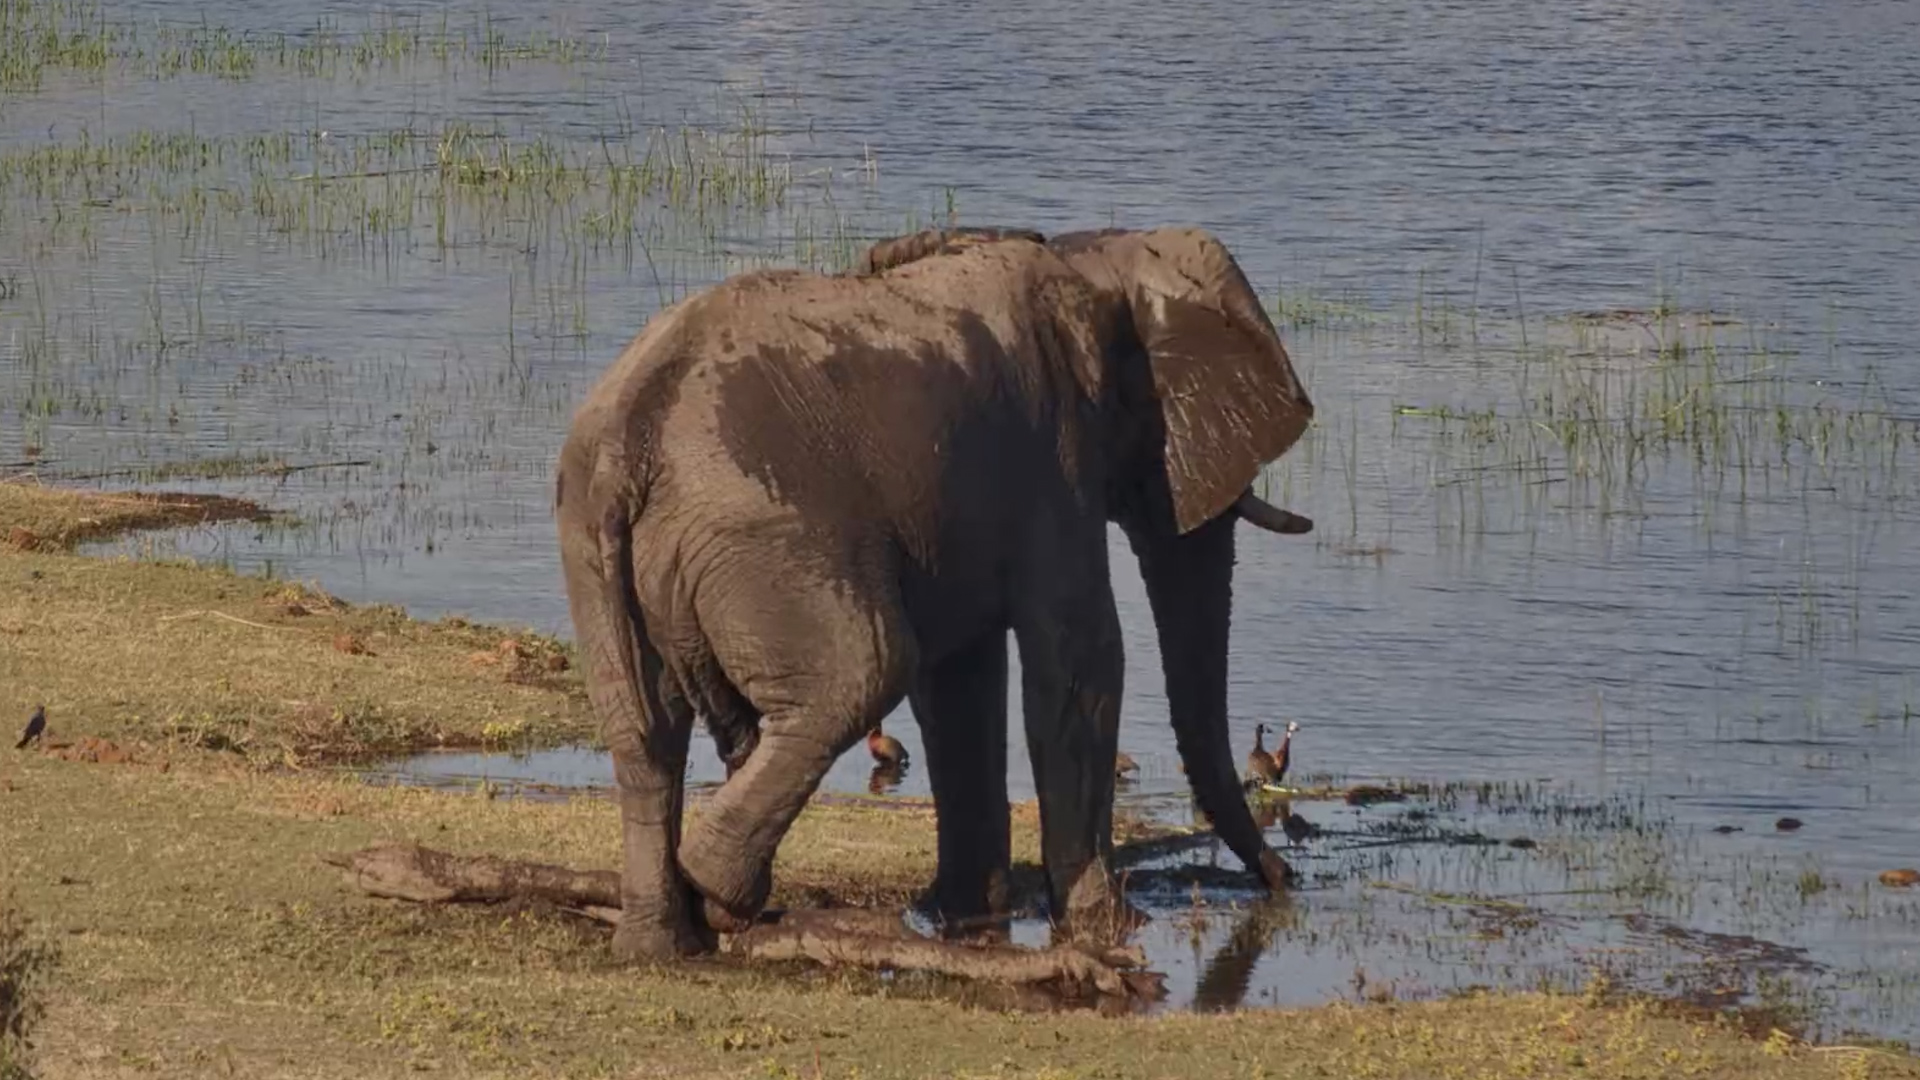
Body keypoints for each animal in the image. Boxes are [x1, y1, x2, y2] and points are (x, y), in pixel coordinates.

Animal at [554, 222, 1316, 961]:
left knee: (644, 734)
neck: (1095, 257)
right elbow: (1081, 657)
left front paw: (969, 917)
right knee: (865, 669)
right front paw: (1108, 929)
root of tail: (629, 442)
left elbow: (961, 683)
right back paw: (715, 894)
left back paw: (656, 946)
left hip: (593, 540)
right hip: (766, 532)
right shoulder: (1053, 448)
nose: (1283, 881)